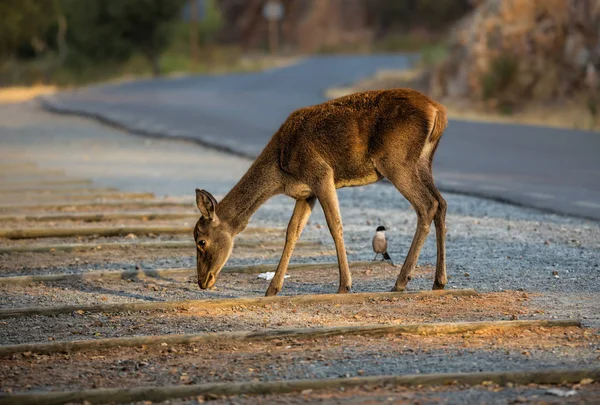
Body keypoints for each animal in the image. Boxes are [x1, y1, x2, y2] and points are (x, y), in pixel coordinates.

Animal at [195, 87, 448, 296]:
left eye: (201, 241)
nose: (202, 281)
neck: (281, 172)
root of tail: (439, 112)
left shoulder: (321, 173)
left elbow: (334, 225)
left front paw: (345, 285)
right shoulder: (306, 193)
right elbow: (292, 232)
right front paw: (272, 289)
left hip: (395, 160)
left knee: (427, 204)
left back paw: (401, 281)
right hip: (423, 160)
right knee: (441, 203)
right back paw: (439, 281)